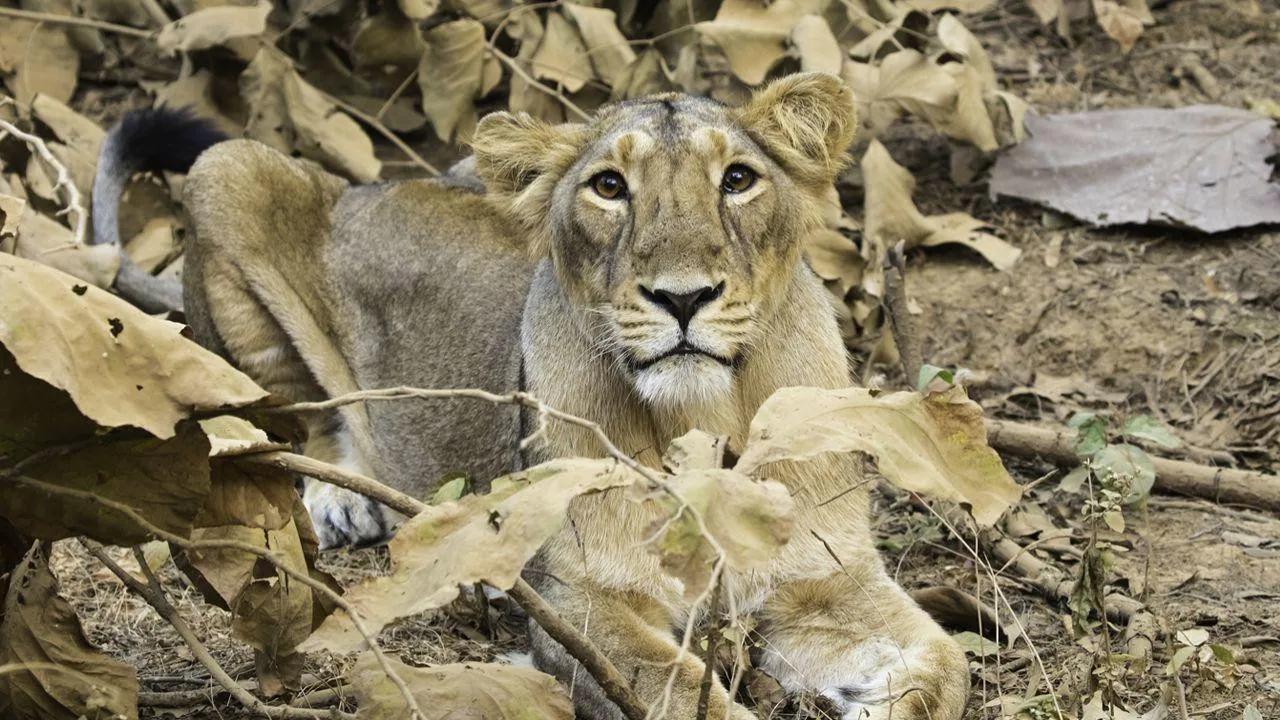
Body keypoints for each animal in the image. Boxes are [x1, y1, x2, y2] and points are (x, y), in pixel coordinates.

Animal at [93, 73, 968, 719]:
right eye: (610, 187)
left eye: (739, 180)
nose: (682, 297)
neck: (703, 416)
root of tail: (369, 186)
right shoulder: (579, 605)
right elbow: (680, 691)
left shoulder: (831, 584)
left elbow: (947, 665)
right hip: (227, 170)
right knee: (289, 418)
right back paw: (345, 499)